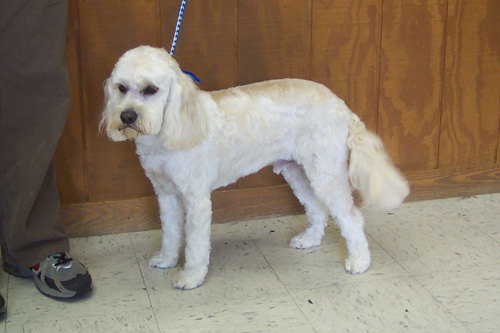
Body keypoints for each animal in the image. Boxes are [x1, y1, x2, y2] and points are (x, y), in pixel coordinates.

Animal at [99, 45, 408, 290]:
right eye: (121, 88)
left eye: (151, 89)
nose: (127, 116)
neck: (171, 128)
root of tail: (342, 106)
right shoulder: (166, 194)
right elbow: (170, 233)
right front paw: (166, 259)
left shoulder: (196, 199)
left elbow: (196, 244)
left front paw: (191, 276)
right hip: (297, 172)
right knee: (317, 208)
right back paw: (309, 239)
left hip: (325, 173)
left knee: (352, 218)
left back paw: (359, 261)